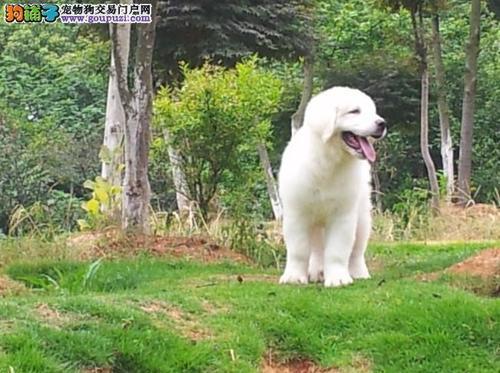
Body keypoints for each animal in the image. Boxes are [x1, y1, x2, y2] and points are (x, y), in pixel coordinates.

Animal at [280, 87, 384, 288]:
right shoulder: (297, 213)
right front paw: (294, 277)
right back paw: (316, 272)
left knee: (357, 250)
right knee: (317, 249)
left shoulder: (343, 215)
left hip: (362, 216)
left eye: (373, 111)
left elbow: (337, 251)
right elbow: (299, 250)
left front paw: (338, 278)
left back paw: (359, 273)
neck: (329, 161)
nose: (382, 123)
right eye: (354, 111)